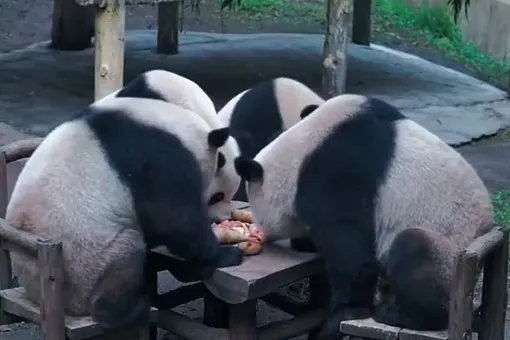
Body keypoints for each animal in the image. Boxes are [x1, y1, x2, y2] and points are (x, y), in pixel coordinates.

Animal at [6, 97, 243, 330]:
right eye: (217, 196)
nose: (221, 219)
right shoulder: (156, 159)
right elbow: (174, 220)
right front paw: (226, 254)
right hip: (84, 264)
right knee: (125, 252)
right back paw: (128, 309)